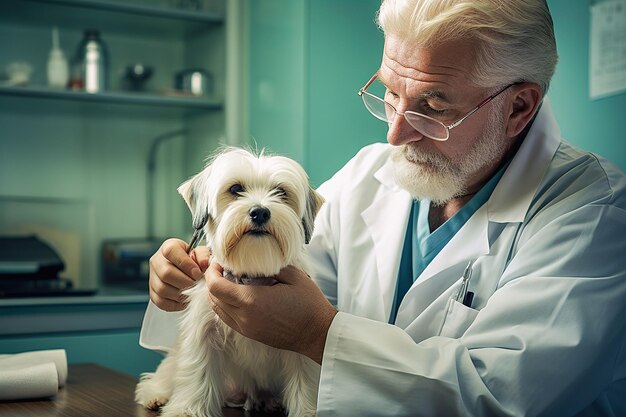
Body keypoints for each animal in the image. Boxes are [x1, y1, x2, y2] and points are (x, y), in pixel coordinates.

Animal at [135, 148, 322, 416]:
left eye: (281, 192)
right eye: (235, 189)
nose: (260, 212)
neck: (252, 272)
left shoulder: (301, 340)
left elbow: (306, 381)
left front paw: (308, 411)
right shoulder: (203, 332)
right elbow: (198, 373)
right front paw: (187, 409)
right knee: (168, 369)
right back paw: (156, 394)